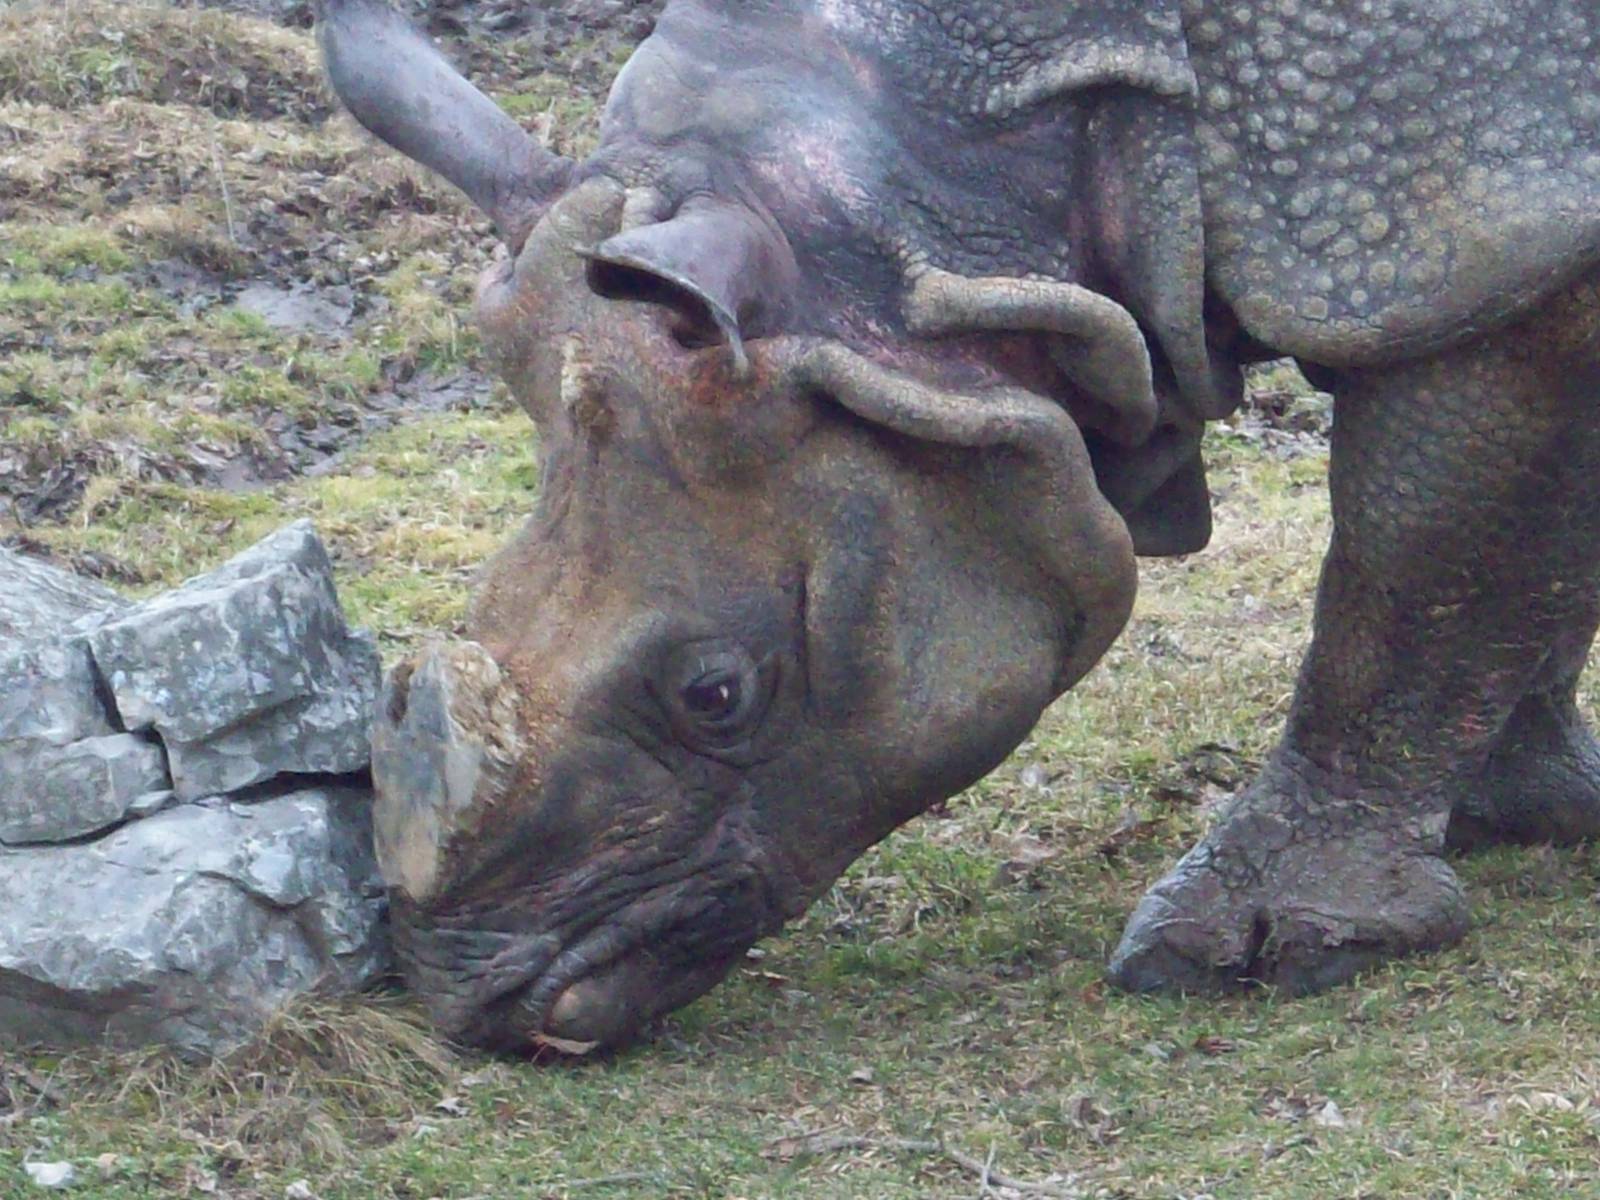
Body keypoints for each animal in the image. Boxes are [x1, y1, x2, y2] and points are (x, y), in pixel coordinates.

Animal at [318, 0, 1600, 1050]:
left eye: (715, 694)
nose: (470, 1000)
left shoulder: (1483, 201)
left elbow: (1416, 574)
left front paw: (1252, 951)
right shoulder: (1491, 226)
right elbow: (1524, 557)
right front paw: (1527, 804)